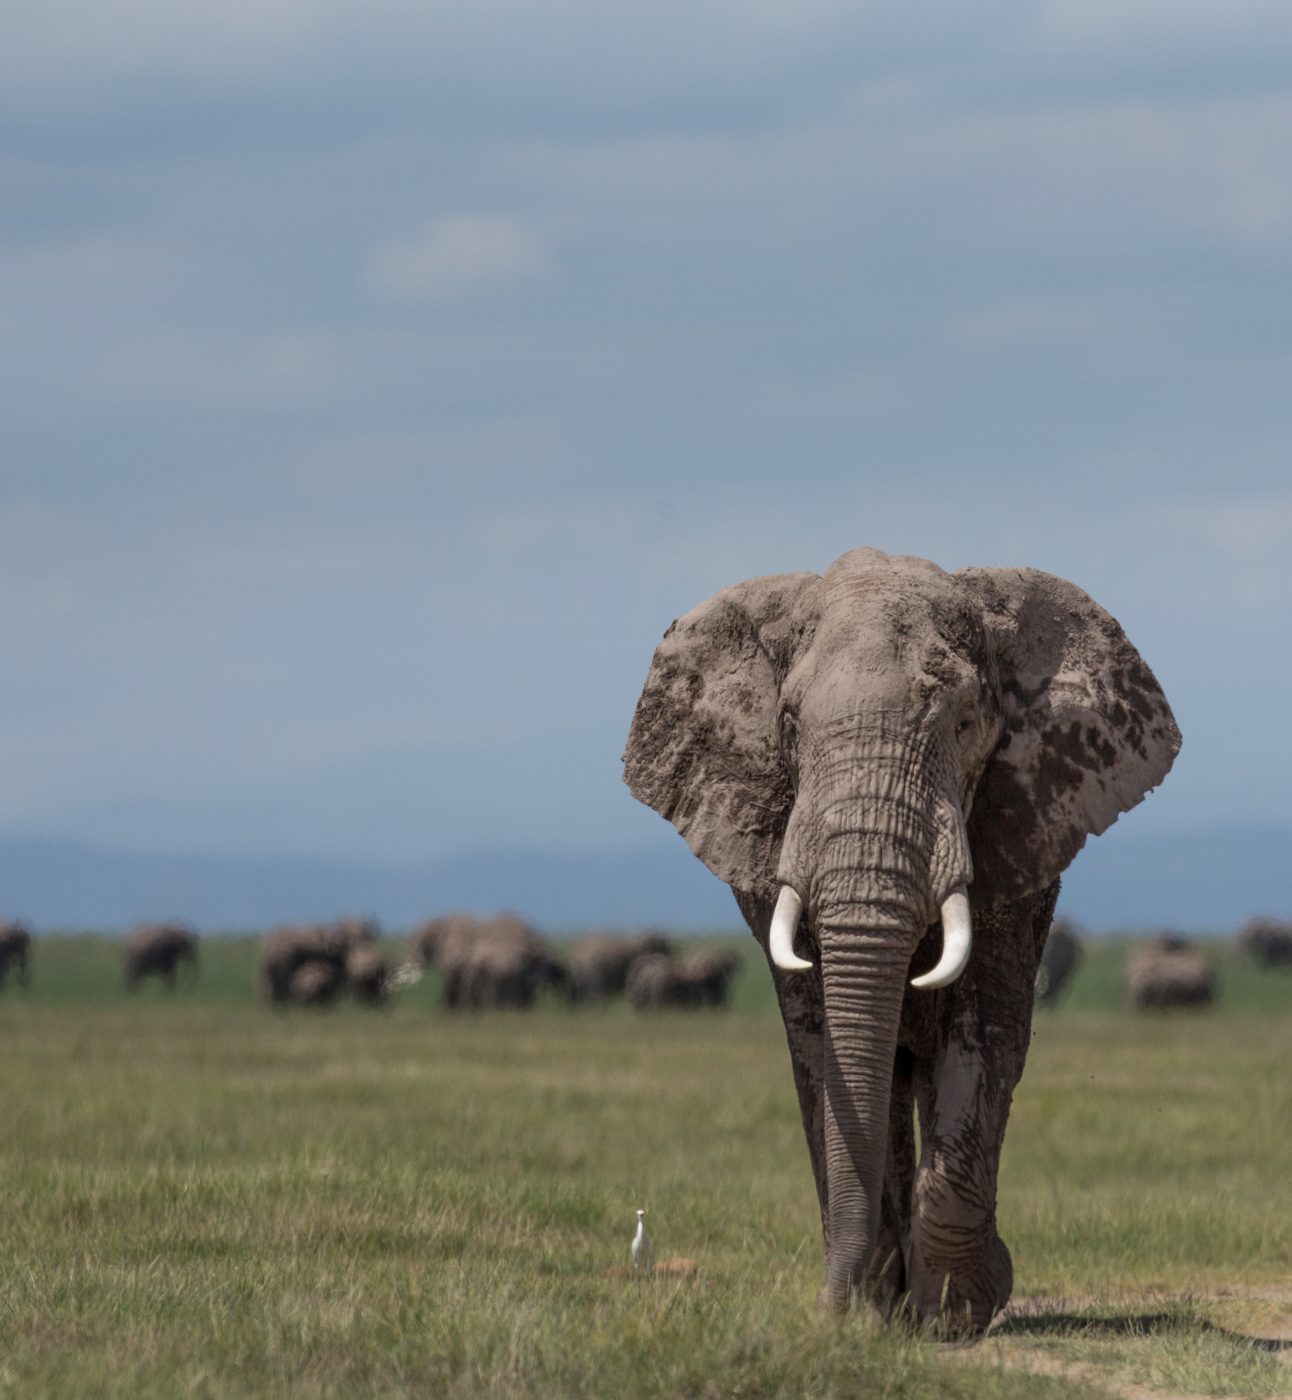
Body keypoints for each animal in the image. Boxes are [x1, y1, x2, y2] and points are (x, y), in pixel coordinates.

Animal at [627, 546, 1181, 1332]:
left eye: (966, 722)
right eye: (787, 724)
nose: (831, 1306)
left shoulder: (1016, 836)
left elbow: (984, 1035)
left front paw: (958, 1310)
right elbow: (820, 1046)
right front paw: (873, 1307)